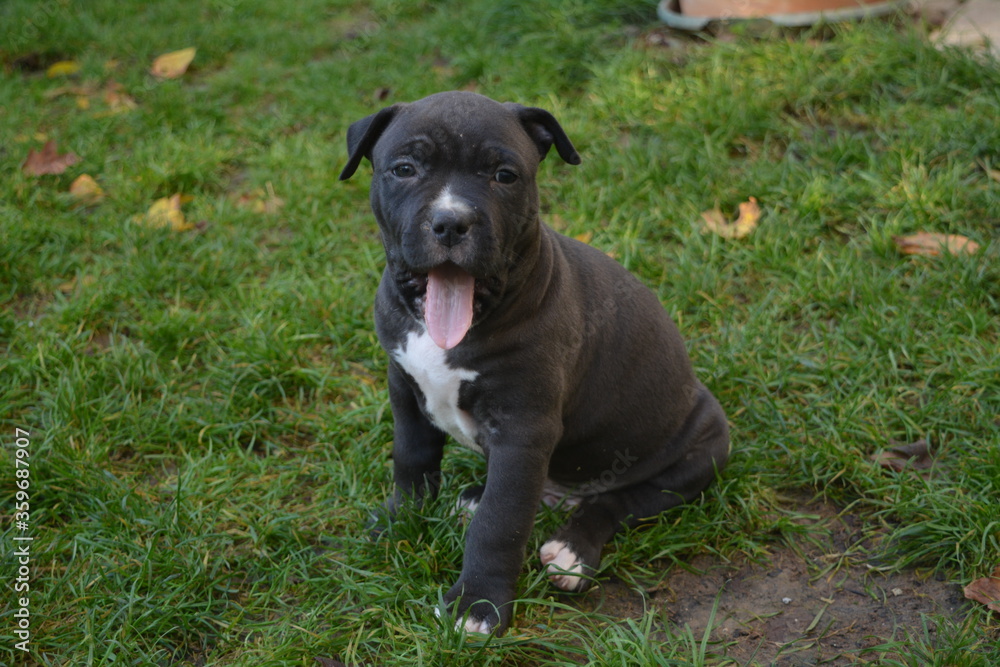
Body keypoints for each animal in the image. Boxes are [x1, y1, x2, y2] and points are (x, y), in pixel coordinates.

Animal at [340, 90, 732, 636]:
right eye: (404, 169)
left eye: (504, 176)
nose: (451, 222)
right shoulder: (403, 387)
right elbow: (412, 459)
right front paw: (402, 520)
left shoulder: (523, 428)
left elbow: (500, 524)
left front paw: (478, 605)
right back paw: (475, 495)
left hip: (700, 449)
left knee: (619, 503)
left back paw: (572, 552)